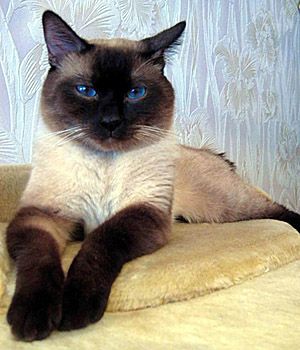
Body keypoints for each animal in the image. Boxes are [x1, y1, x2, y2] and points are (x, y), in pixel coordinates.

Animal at [5, 9, 298, 340]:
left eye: (136, 93)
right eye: (86, 91)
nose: (110, 122)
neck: (105, 163)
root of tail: (208, 152)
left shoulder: (143, 212)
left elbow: (99, 243)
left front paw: (75, 307)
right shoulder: (42, 215)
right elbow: (39, 258)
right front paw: (32, 317)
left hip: (226, 208)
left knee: (276, 210)